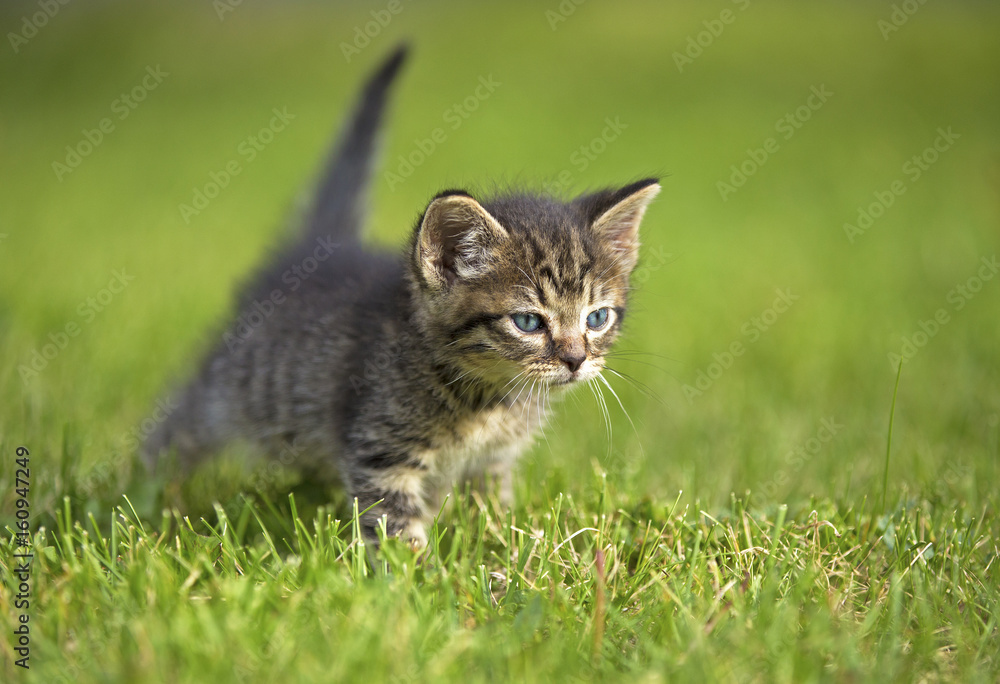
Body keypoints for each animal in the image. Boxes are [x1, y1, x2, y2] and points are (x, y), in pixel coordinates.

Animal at [141, 45, 656, 552]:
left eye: (597, 318)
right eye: (528, 322)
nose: (575, 359)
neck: (487, 400)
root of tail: (318, 248)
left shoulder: (491, 462)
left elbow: (492, 513)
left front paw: (507, 552)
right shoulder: (381, 451)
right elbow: (396, 526)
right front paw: (418, 574)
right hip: (229, 389)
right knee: (176, 426)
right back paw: (145, 491)